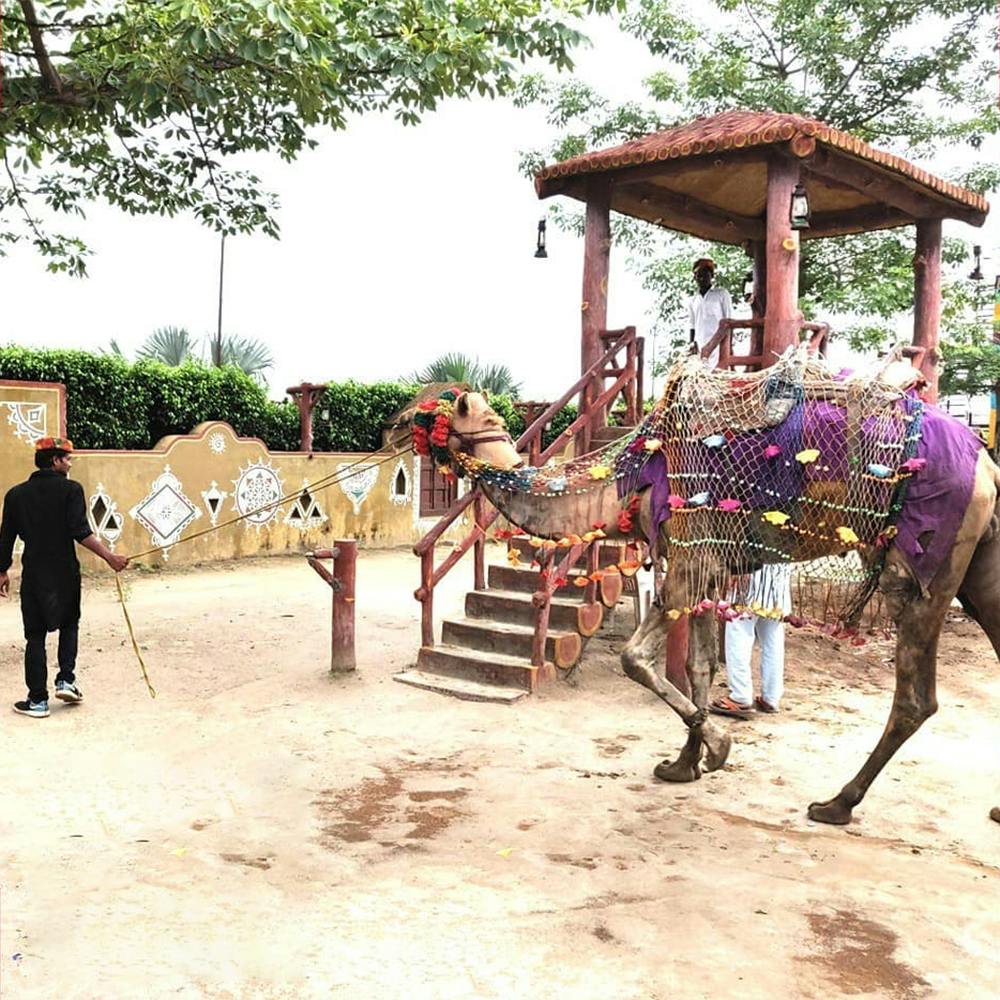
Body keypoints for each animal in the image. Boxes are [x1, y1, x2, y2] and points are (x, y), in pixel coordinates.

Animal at [408, 354, 1000, 828]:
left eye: (433, 414)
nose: (401, 421)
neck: (629, 477)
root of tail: (986, 463)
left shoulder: (689, 561)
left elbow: (634, 659)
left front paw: (717, 746)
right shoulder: (705, 564)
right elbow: (698, 665)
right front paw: (683, 764)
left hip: (926, 558)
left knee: (916, 694)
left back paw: (836, 804)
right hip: (981, 560)